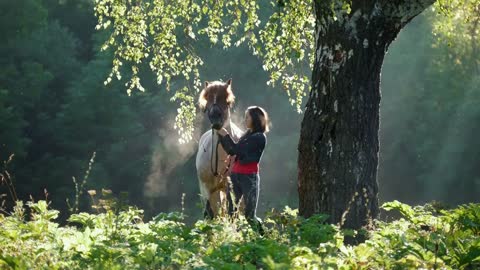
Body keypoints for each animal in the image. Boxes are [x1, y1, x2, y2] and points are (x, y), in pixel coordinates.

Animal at [194, 79, 242, 218]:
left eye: (227, 102)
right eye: (207, 100)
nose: (215, 118)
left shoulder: (231, 189)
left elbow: (232, 211)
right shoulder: (206, 190)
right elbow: (209, 213)